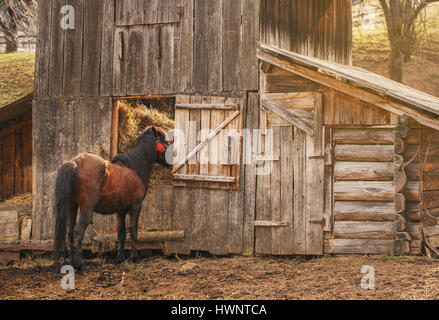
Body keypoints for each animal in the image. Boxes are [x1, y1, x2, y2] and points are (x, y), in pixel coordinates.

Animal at [54, 126, 171, 268]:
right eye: (166, 141)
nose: (171, 161)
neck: (134, 166)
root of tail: (74, 163)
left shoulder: (121, 210)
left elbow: (121, 233)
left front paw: (120, 258)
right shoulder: (136, 206)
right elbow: (133, 232)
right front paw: (134, 257)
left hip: (72, 207)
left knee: (70, 232)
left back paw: (71, 263)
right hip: (86, 210)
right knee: (78, 232)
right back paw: (78, 264)